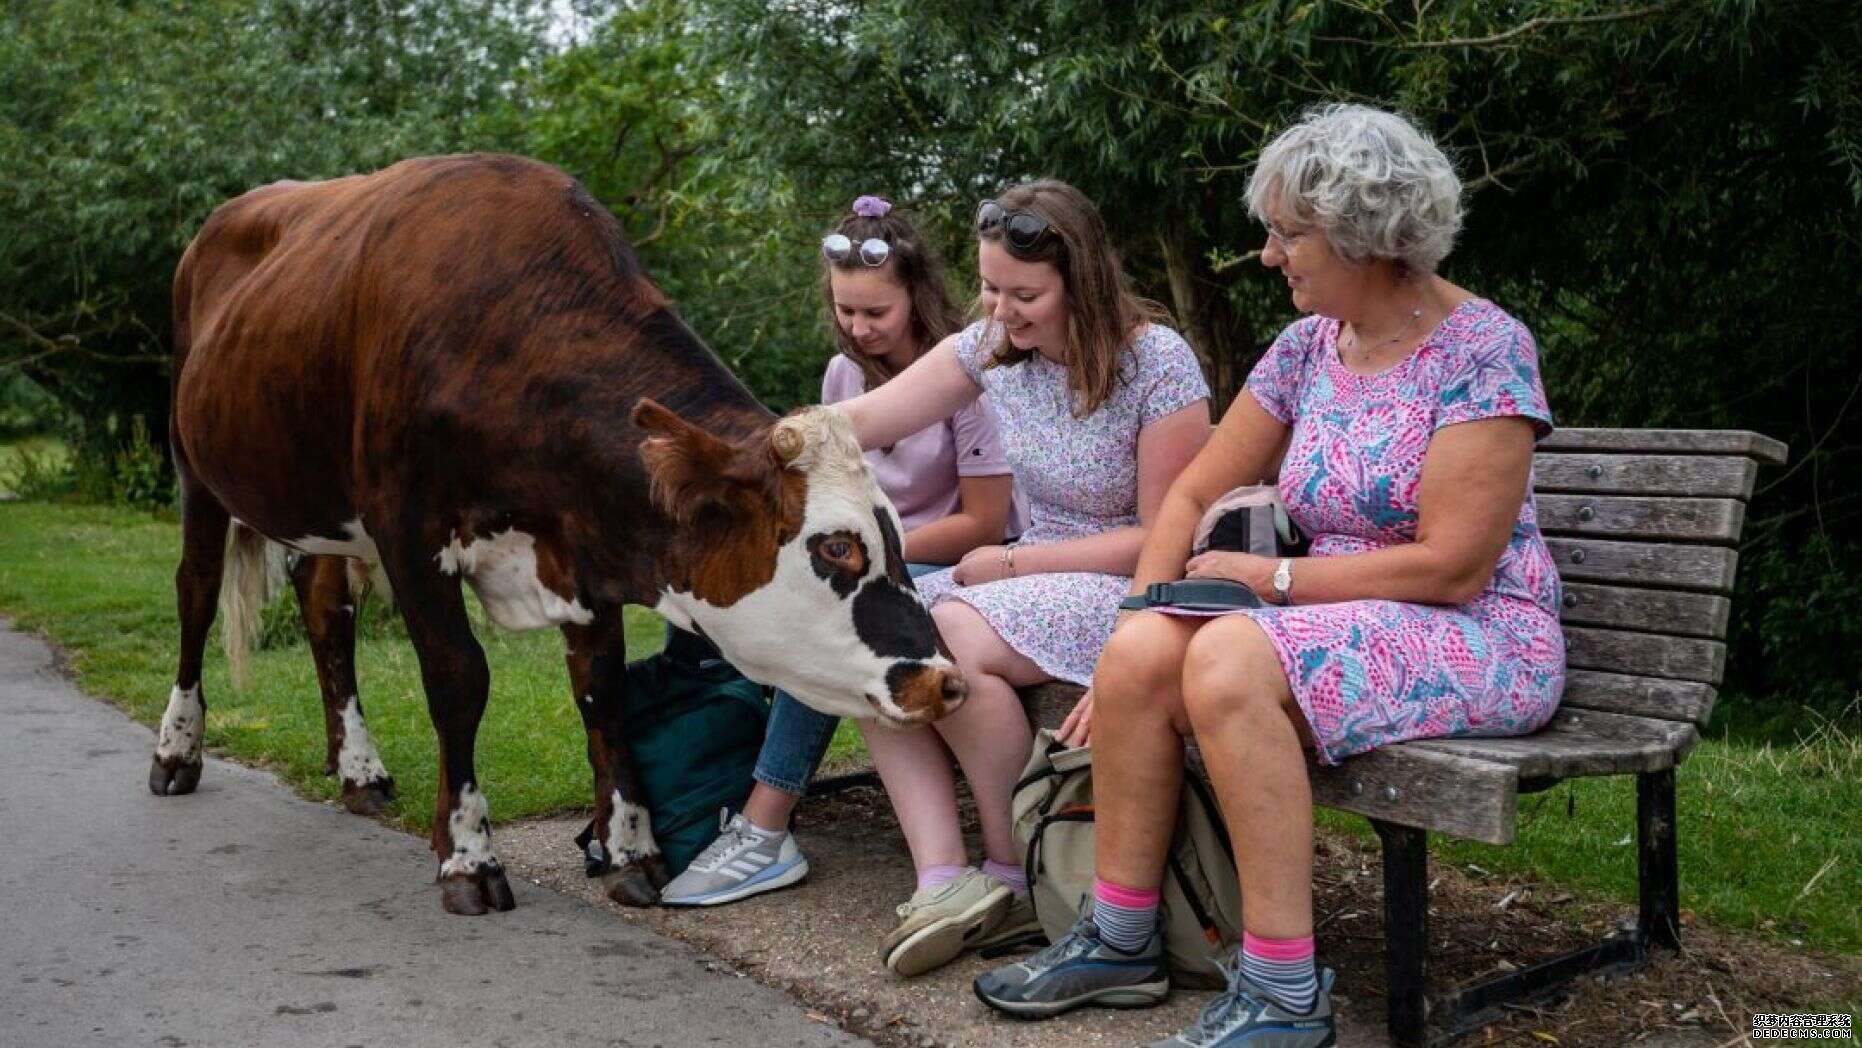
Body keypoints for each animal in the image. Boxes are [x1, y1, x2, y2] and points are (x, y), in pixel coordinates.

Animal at [154, 155, 968, 919]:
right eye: (836, 548)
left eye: (898, 542)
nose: (945, 680)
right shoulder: (408, 530)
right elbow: (459, 680)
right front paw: (468, 857)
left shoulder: (587, 538)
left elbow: (603, 692)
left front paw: (631, 850)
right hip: (195, 465)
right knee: (195, 592)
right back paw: (177, 748)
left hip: (317, 504)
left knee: (324, 609)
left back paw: (358, 768)